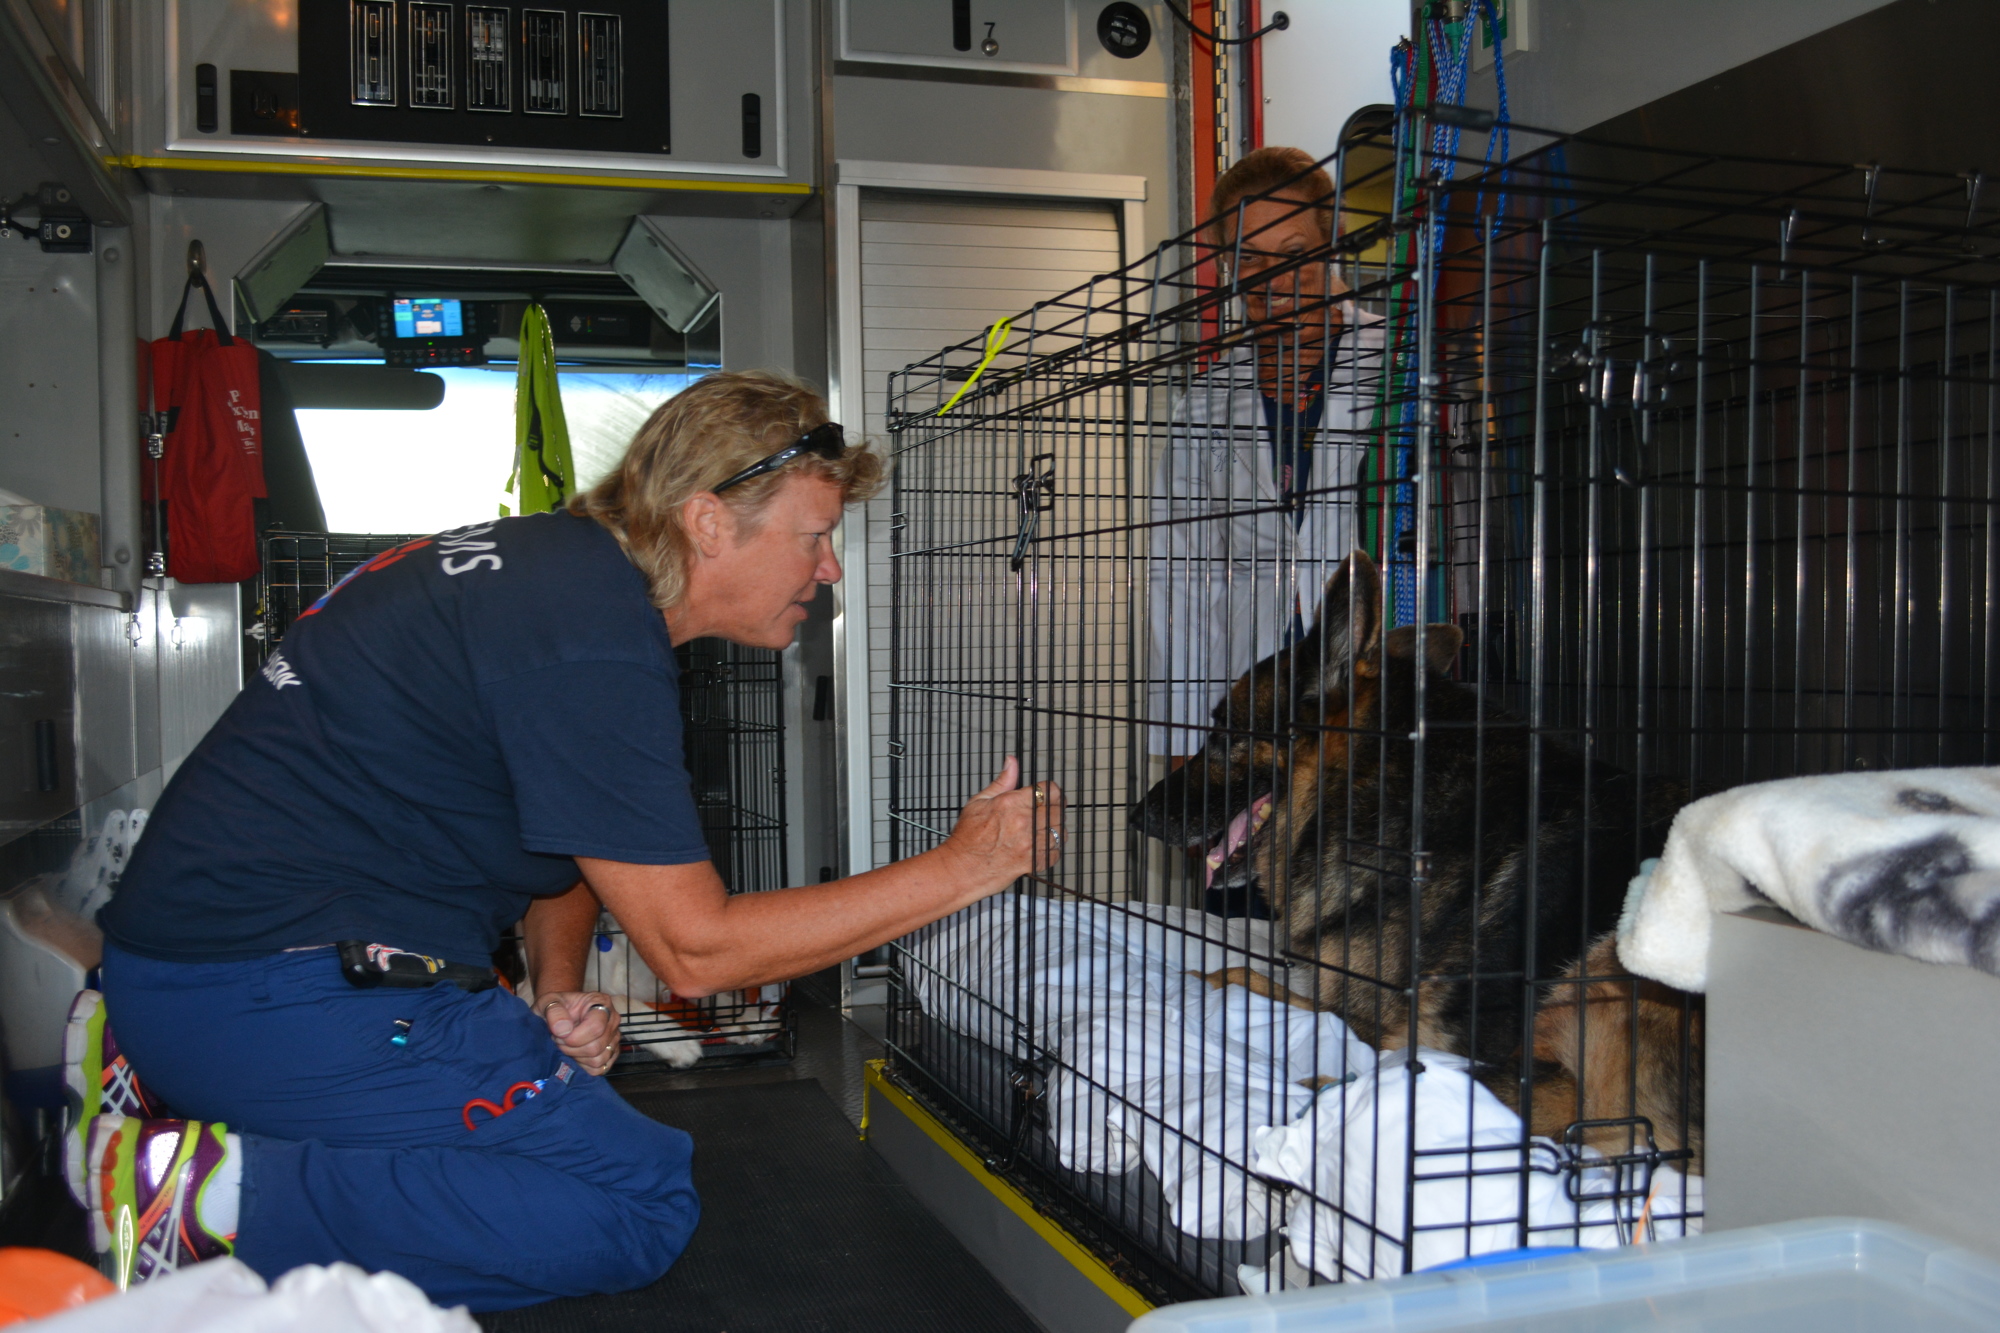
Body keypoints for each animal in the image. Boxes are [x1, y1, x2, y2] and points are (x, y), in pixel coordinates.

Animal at [1144, 548, 1704, 1160]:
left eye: (1223, 732)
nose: (1137, 815)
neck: (1364, 790)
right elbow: (1236, 970)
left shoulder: (1361, 1018)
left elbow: (1252, 980)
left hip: (1619, 961)